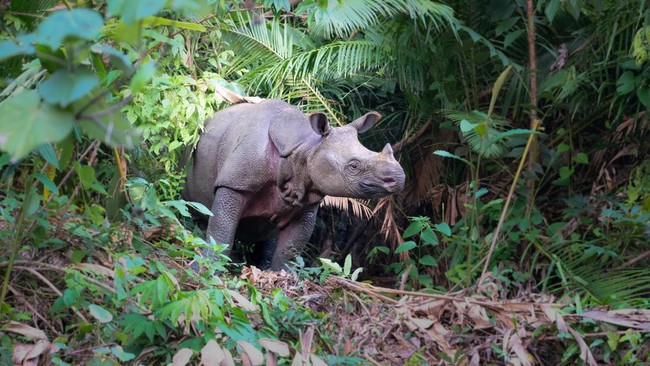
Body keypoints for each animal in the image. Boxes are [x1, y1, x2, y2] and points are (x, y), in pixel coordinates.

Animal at [182, 98, 402, 270]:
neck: (305, 147)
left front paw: (280, 279)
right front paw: (205, 269)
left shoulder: (306, 202)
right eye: (353, 166)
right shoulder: (235, 182)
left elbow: (289, 251)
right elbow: (220, 234)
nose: (399, 178)